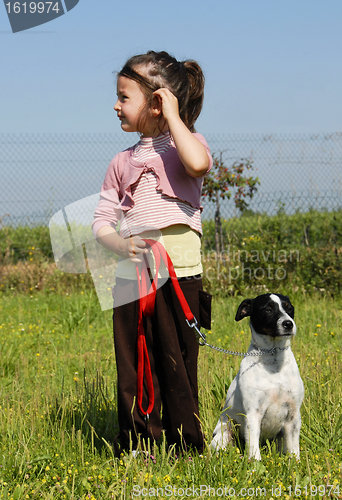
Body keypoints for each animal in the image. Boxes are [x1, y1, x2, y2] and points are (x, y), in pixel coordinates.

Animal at [211, 292, 304, 460]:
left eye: (289, 308)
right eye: (267, 310)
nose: (288, 324)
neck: (274, 361)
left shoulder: (293, 415)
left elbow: (294, 448)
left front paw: (296, 464)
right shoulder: (253, 413)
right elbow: (253, 447)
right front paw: (255, 464)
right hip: (224, 432)